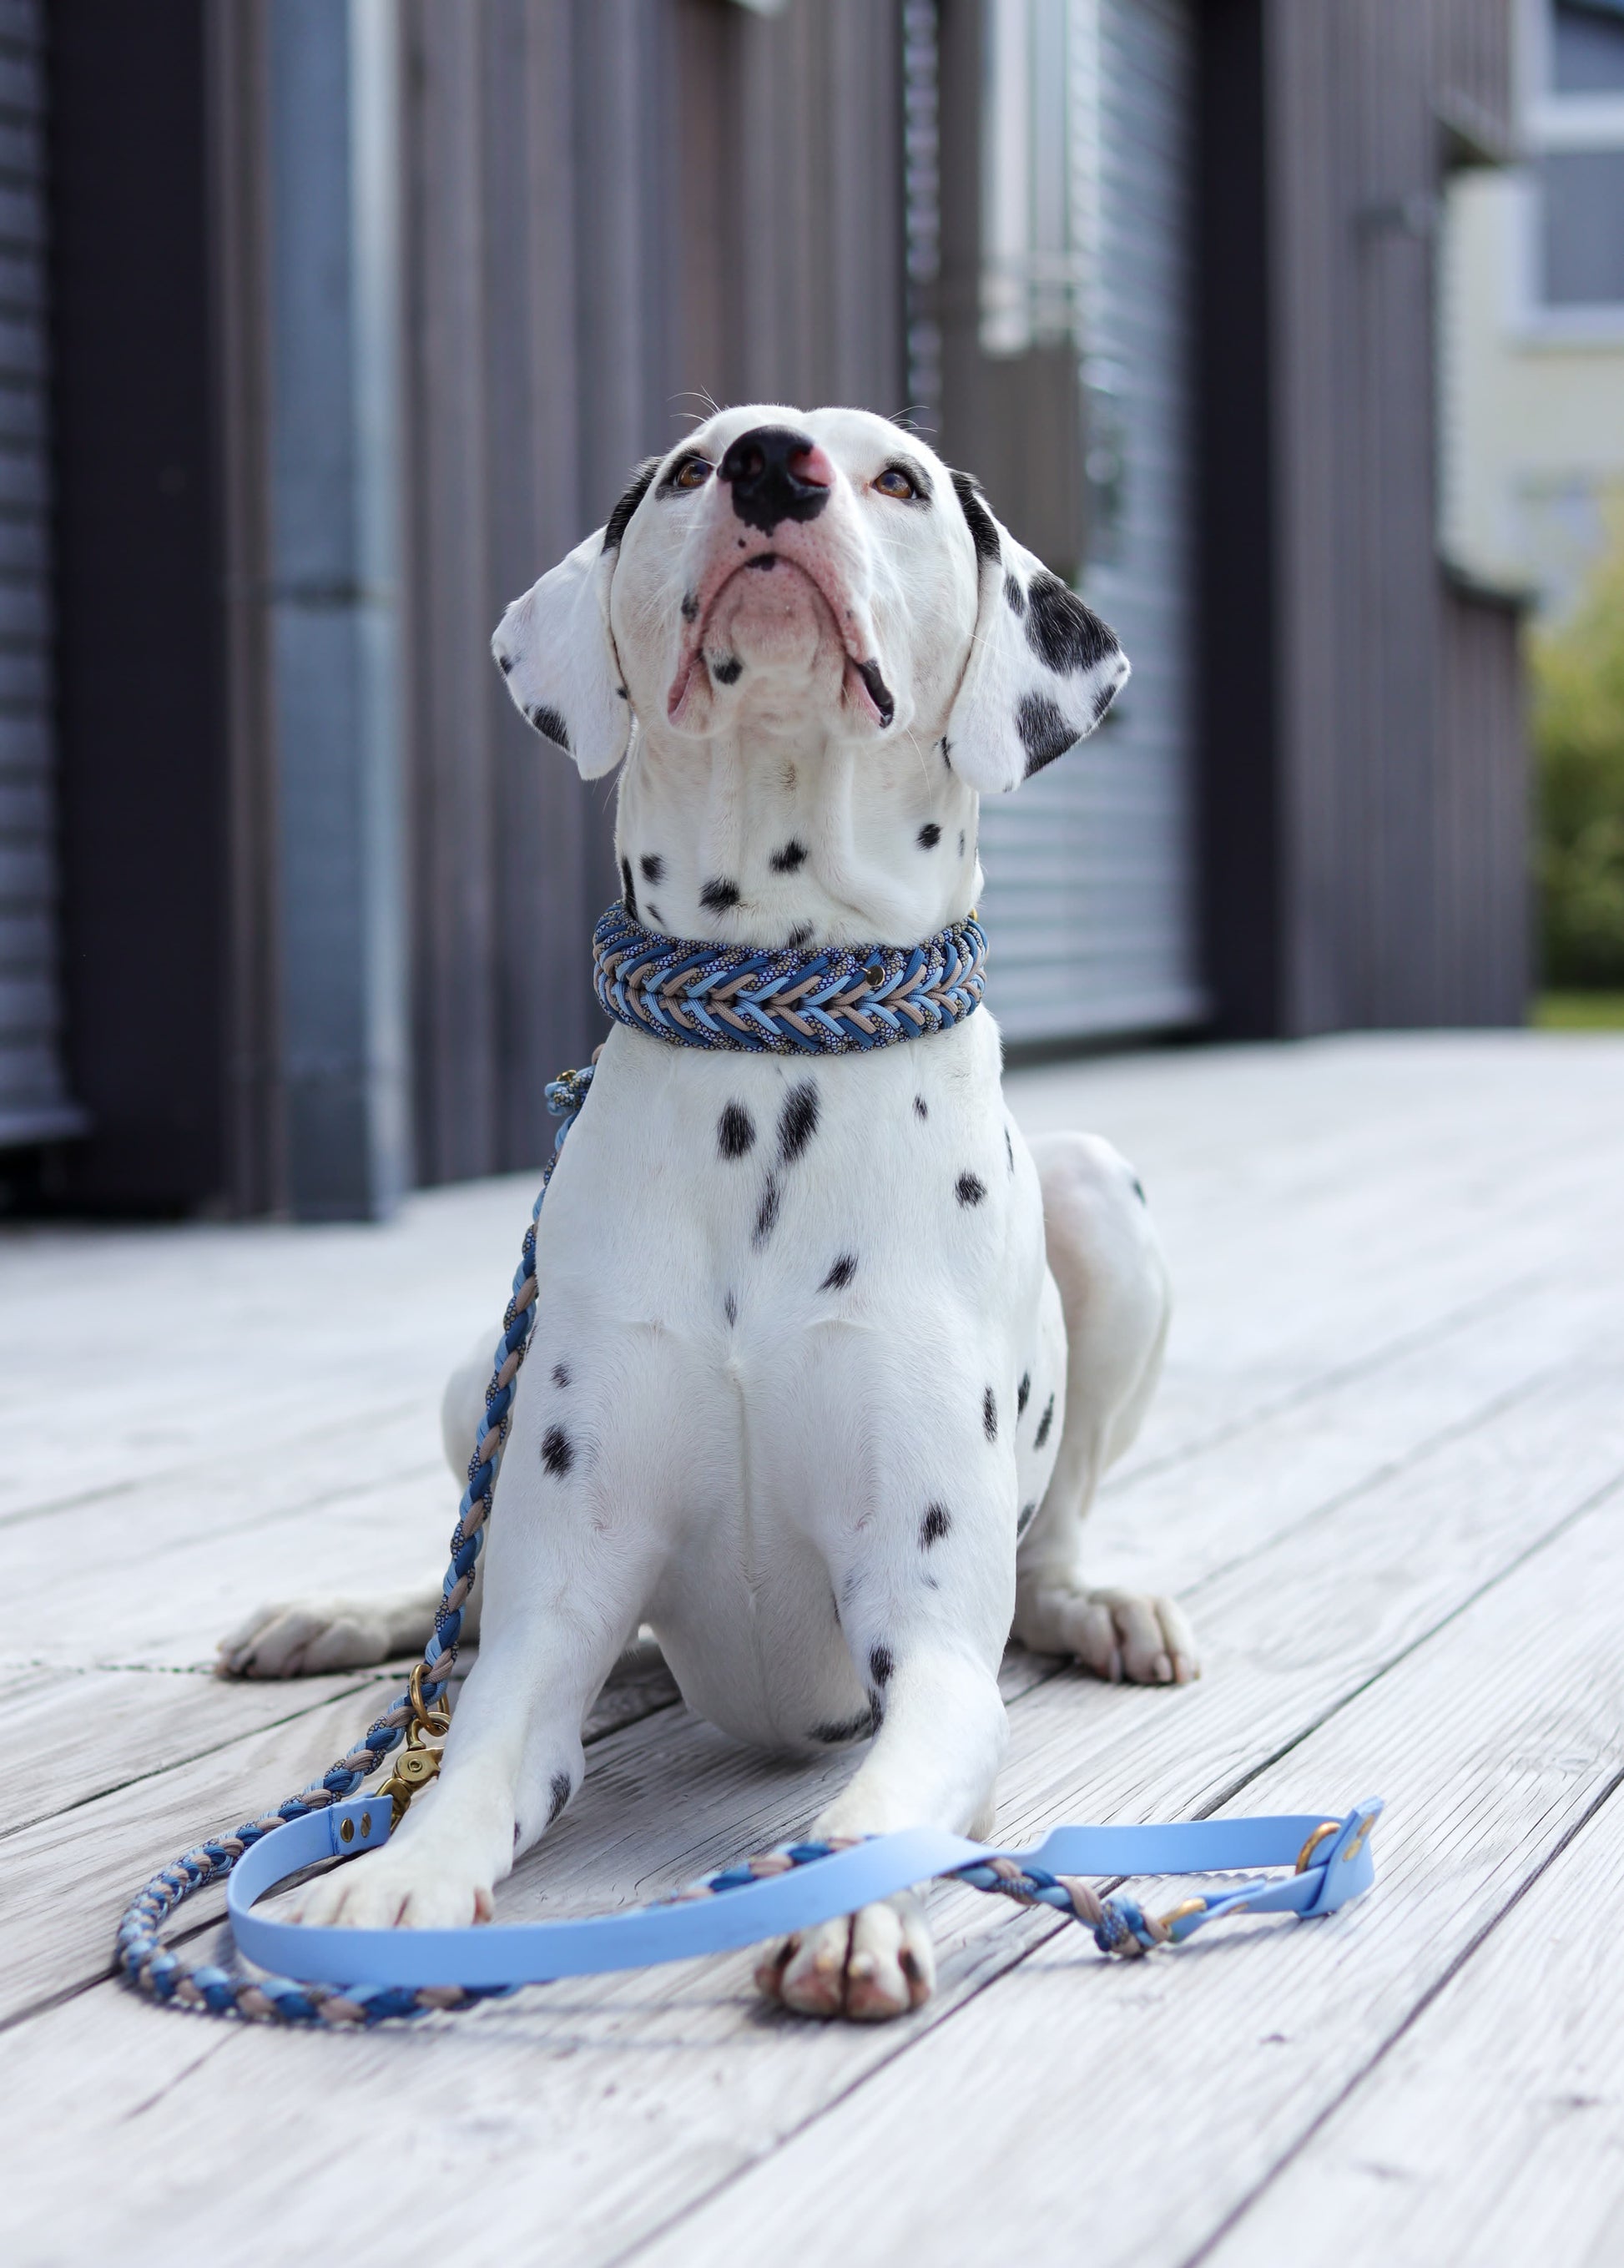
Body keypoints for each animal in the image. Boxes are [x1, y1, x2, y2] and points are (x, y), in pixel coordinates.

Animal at [218, 407, 1197, 2021]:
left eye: (897, 478)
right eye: (688, 467)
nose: (770, 469)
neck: (772, 1067)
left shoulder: (931, 1637)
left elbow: (886, 1798)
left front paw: (846, 1908)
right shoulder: (559, 1609)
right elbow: (473, 1754)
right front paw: (392, 1881)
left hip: (1101, 1194)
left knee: (1053, 1536)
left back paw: (1097, 1605)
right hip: (475, 1379)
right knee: (454, 1609)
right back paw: (348, 1619)